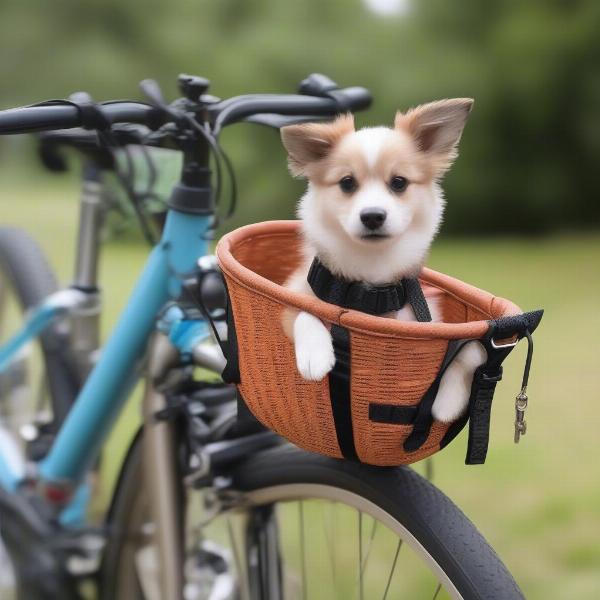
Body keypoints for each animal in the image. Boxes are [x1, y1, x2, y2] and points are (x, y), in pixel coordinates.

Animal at [282, 99, 488, 422]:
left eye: (399, 182)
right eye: (347, 183)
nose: (372, 216)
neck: (372, 275)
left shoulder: (431, 326)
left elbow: (473, 348)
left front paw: (448, 400)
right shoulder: (289, 298)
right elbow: (304, 310)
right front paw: (315, 357)